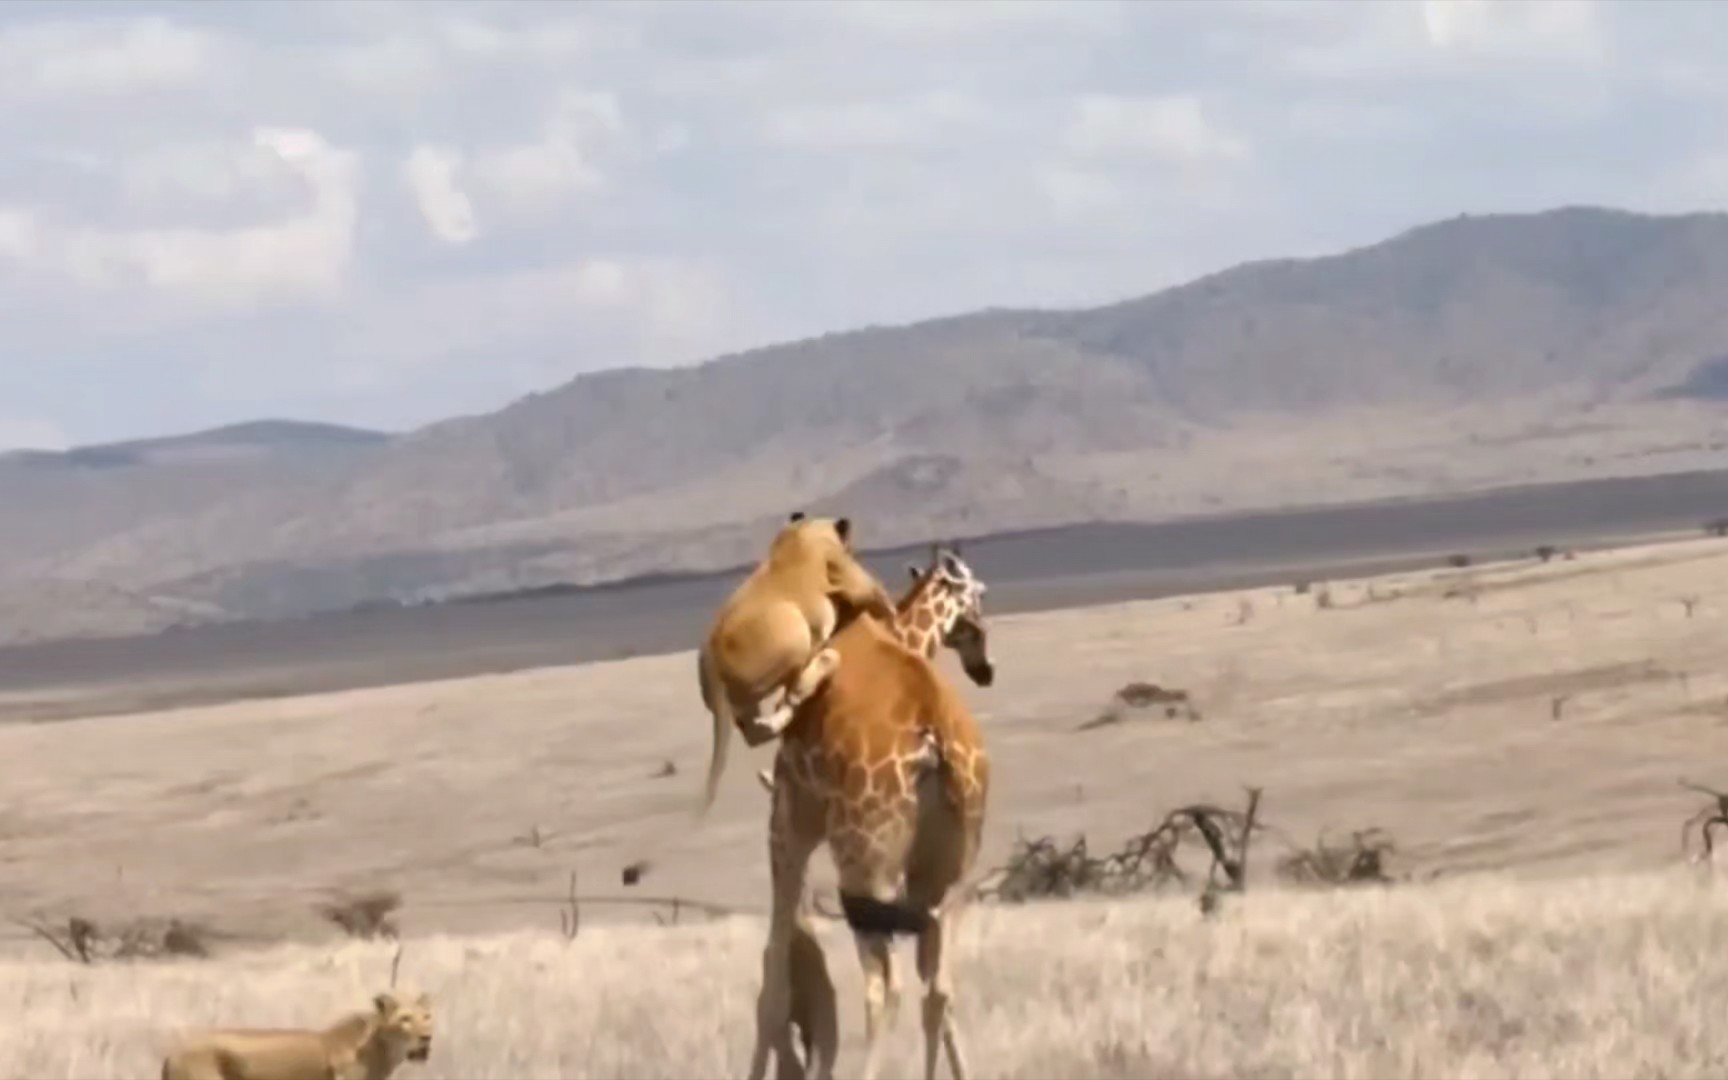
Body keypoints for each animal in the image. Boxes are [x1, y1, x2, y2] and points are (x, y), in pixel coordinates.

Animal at [694, 508, 898, 812]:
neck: (808, 529)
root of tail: (711, 662)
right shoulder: (854, 578)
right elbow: (883, 601)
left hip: (744, 698)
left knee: (757, 730)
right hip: (794, 632)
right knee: (793, 692)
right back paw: (823, 662)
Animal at [746, 608, 1002, 1078]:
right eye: (973, 624)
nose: (985, 670)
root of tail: (936, 742)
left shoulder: (789, 820)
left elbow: (772, 975)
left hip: (863, 868)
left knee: (886, 989)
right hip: (948, 875)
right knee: (937, 989)